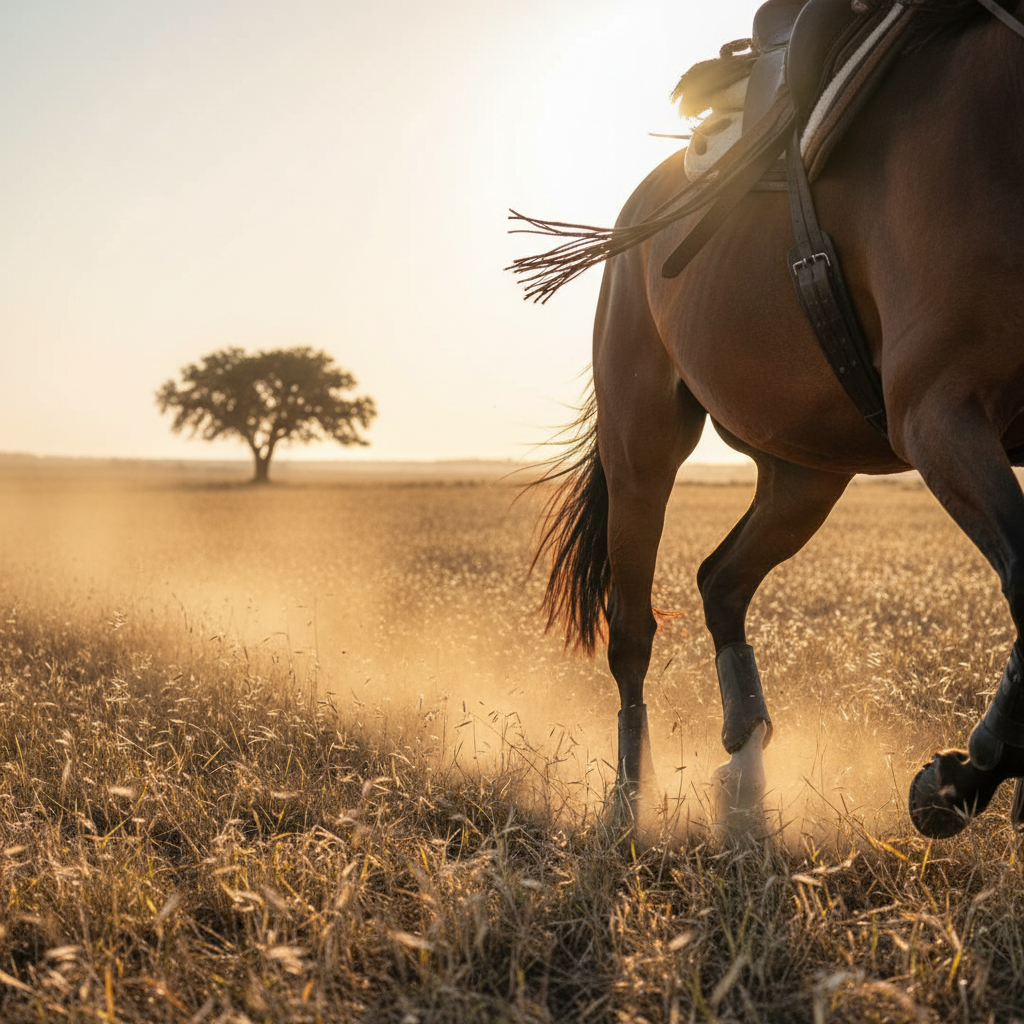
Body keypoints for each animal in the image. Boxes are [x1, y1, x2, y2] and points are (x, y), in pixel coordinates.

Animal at [520, 0, 1024, 838]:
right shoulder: (937, 412)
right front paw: (960, 777)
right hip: (641, 448)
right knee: (632, 631)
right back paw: (629, 802)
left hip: (804, 472)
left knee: (720, 579)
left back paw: (746, 767)